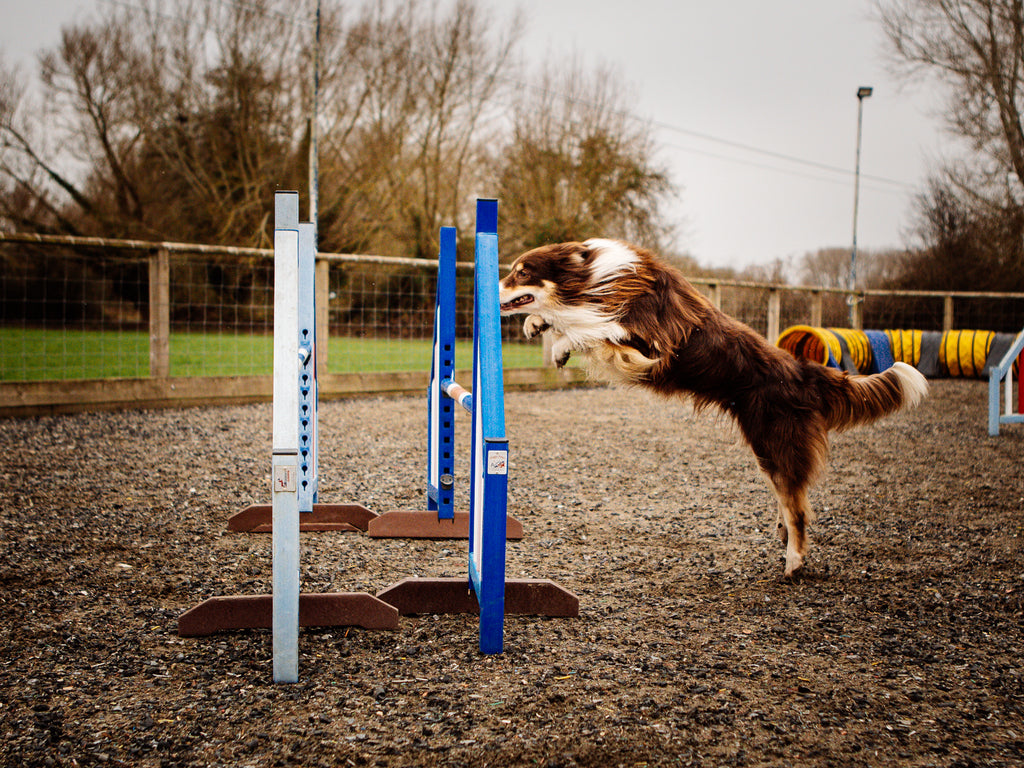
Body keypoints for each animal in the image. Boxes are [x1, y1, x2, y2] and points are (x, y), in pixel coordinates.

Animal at [497, 239, 929, 577]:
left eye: (521, 272)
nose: (491, 289)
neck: (590, 278)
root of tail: (802, 371)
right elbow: (569, 323)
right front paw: (541, 329)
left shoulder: (649, 342)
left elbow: (589, 327)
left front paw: (557, 337)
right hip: (769, 448)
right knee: (791, 495)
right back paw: (783, 534)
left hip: (772, 441)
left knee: (798, 505)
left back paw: (794, 561)